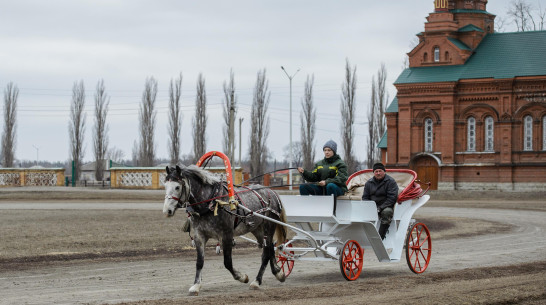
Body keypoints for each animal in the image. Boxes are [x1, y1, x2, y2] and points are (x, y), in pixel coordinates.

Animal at [162, 164, 286, 294]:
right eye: (165, 186)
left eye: (177, 187)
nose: (167, 211)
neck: (211, 202)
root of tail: (272, 192)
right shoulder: (199, 235)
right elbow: (199, 262)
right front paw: (196, 285)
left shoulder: (227, 235)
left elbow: (227, 262)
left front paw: (242, 277)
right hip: (257, 229)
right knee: (270, 247)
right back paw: (278, 273)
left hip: (269, 226)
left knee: (266, 253)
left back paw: (257, 281)